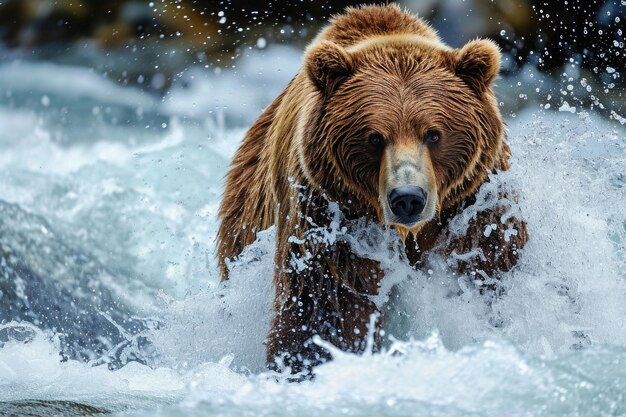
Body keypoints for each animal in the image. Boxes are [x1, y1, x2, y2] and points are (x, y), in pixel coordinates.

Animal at [216, 4, 528, 372]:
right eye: (375, 137)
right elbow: (327, 303)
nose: (408, 198)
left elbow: (489, 267)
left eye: (433, 133)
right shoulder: (328, 214)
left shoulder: (476, 202)